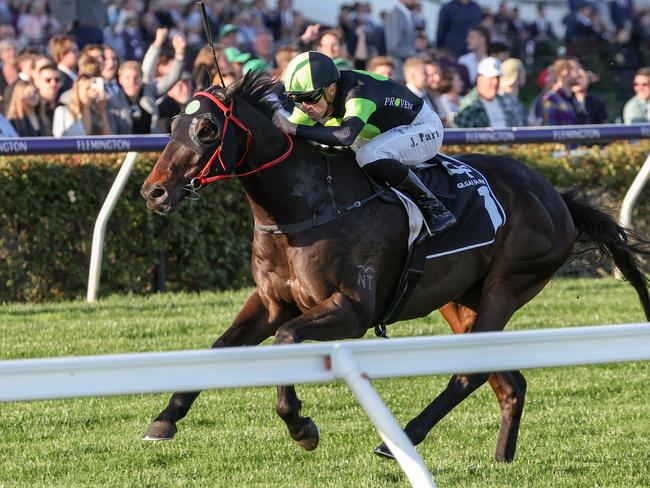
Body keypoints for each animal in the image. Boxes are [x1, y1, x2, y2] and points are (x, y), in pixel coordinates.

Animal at [140, 71, 648, 462]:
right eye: (173, 123)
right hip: (458, 301)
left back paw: (398, 440)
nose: (153, 191)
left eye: (207, 129)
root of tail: (556, 197)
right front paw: (164, 420)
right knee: (507, 380)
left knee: (471, 373)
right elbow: (219, 348)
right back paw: (501, 457)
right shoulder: (271, 301)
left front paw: (302, 427)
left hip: (507, 286)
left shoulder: (352, 308)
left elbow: (287, 340)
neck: (303, 206)